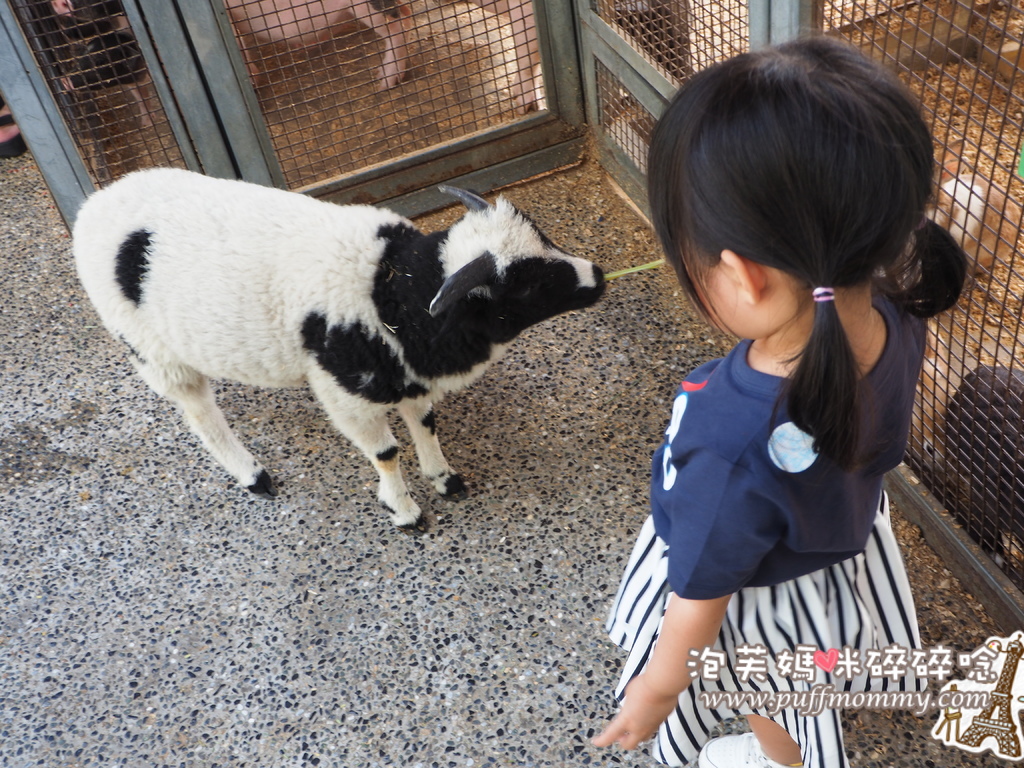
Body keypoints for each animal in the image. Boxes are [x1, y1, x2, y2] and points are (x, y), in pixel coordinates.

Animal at [75, 167, 602, 528]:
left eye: (544, 237)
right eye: (526, 286)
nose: (597, 276)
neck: (395, 287)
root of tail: (96, 202)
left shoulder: (406, 371)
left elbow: (426, 423)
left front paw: (443, 478)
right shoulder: (345, 391)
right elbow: (386, 453)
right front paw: (404, 510)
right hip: (148, 346)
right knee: (199, 412)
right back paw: (252, 474)